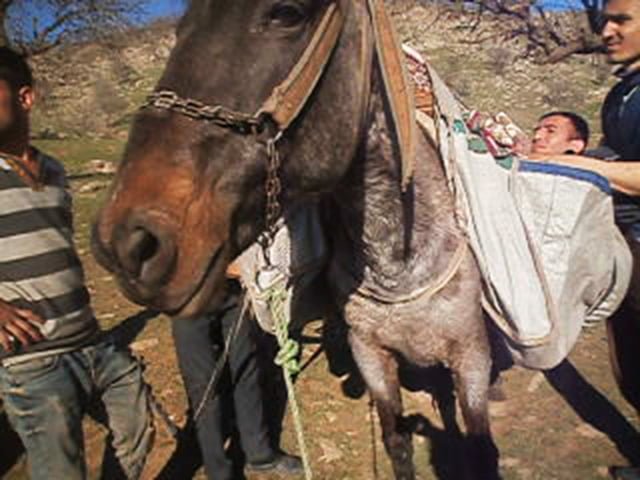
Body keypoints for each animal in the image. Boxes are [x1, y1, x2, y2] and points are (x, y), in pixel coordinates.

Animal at [90, 1, 500, 478]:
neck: (400, 260)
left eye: (287, 13)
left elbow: (480, 450)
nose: (125, 242)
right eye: (179, 30)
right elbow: (397, 441)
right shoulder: (371, 355)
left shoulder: (471, 358)